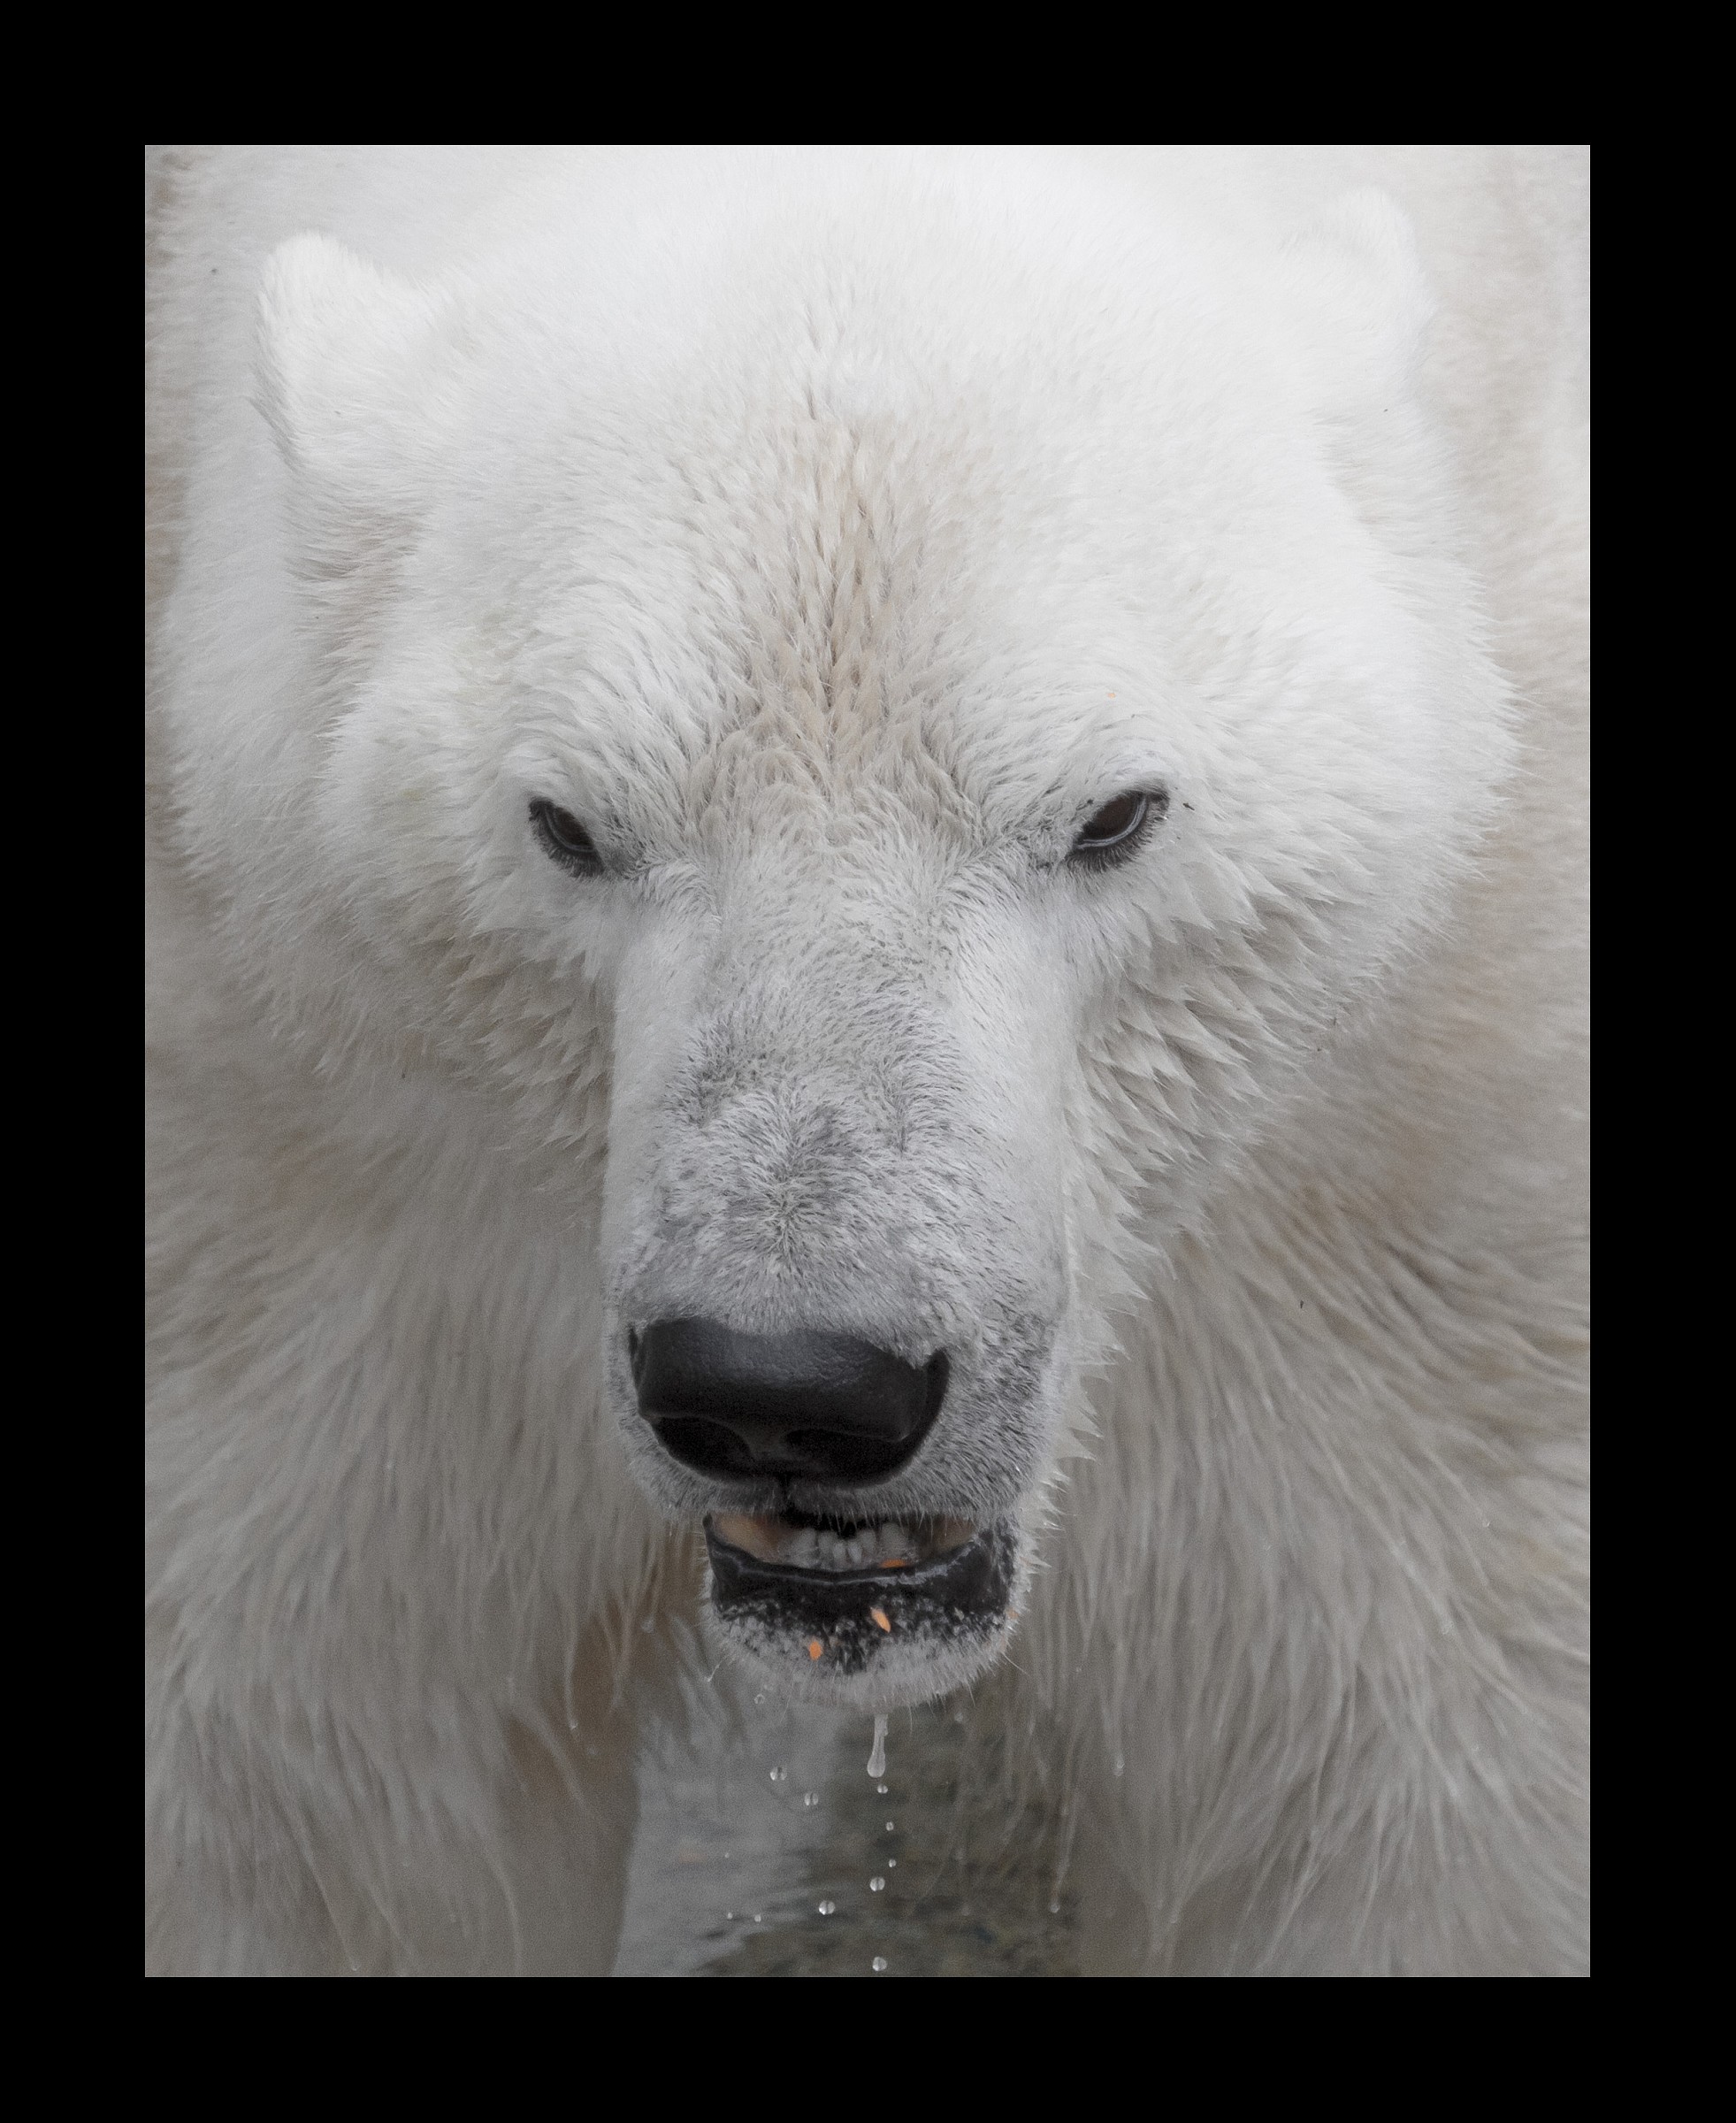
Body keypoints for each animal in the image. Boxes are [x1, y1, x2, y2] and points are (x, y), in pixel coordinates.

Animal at [146, 147, 1588, 1975]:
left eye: (1113, 815)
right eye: (566, 825)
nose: (788, 1389)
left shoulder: (1428, 1188)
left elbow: (1409, 1796)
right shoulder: (297, 1170)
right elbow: (309, 1787)